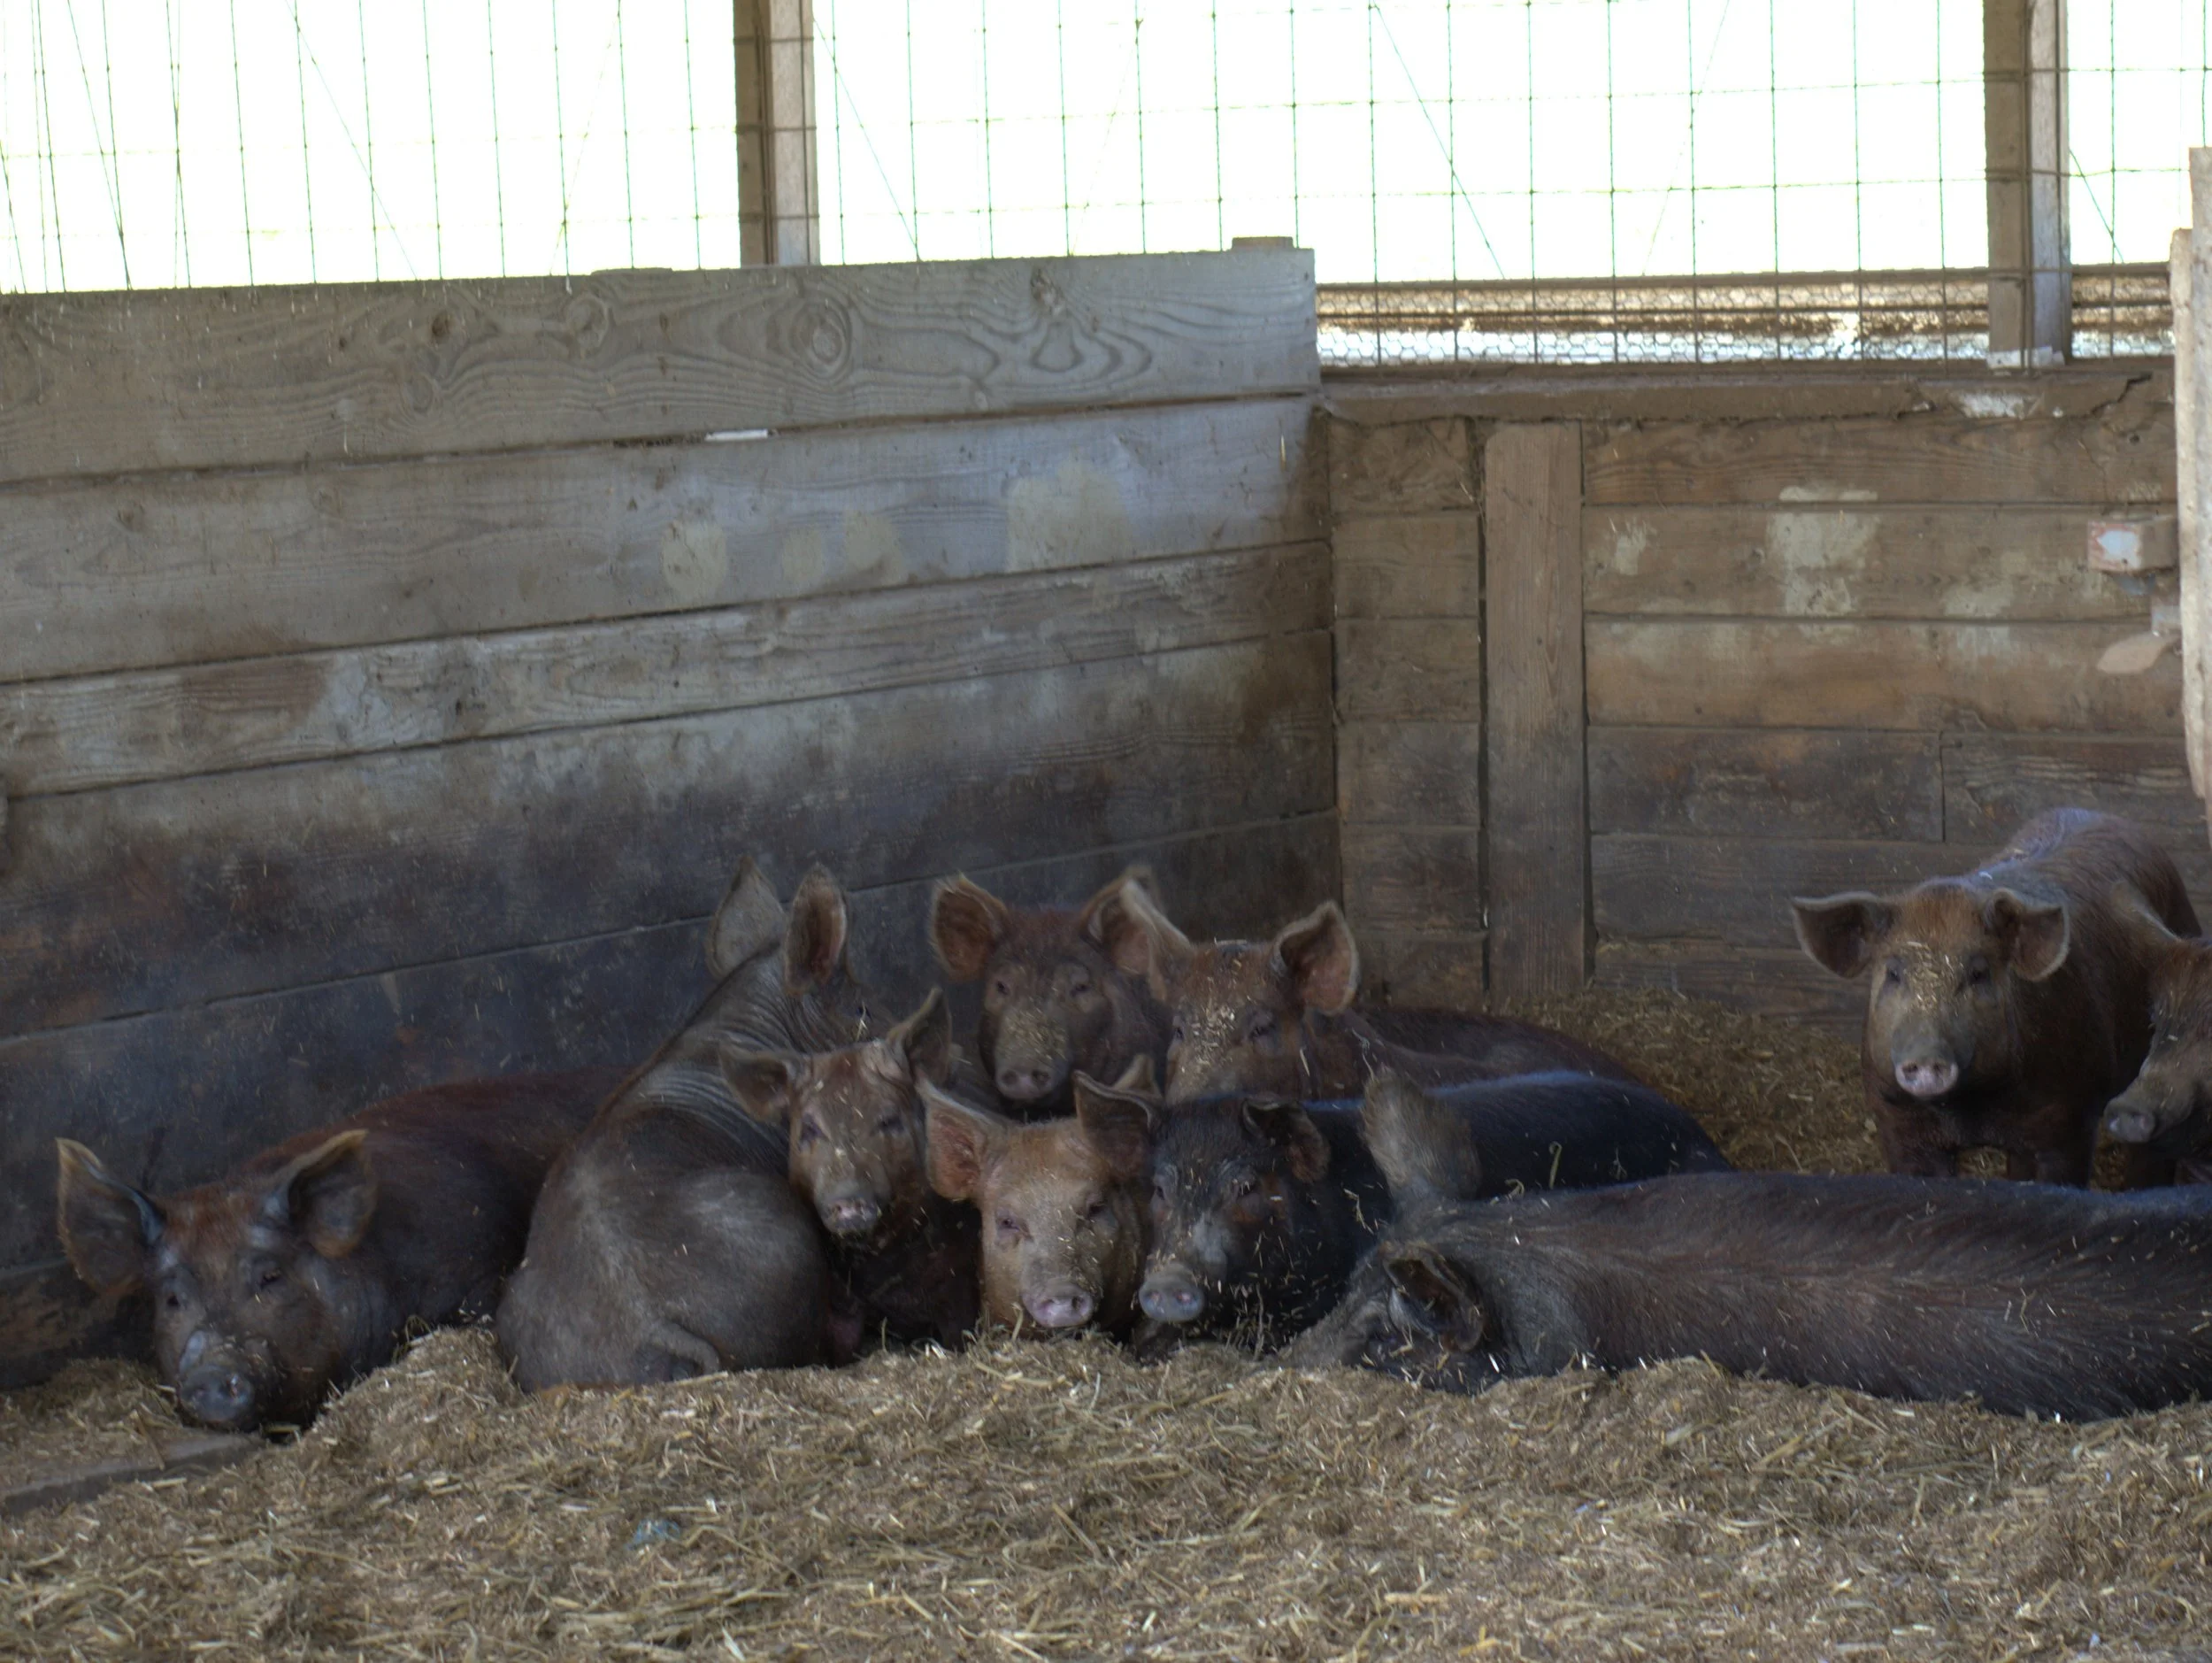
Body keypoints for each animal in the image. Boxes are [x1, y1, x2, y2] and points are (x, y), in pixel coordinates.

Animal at [1793, 808, 2198, 1186]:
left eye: (1978, 973)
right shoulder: (1896, 1121)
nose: (1924, 1056)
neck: (1969, 1110)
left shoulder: (2071, 1119)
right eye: (1893, 973)